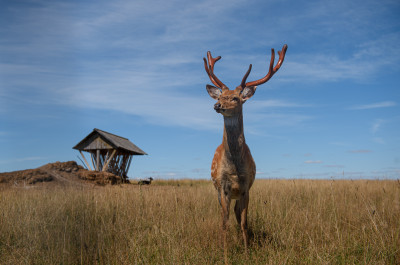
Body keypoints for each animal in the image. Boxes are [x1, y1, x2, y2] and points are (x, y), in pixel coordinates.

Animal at [203, 43, 288, 258]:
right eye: (221, 96)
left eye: (235, 98)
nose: (217, 105)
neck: (234, 168)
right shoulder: (223, 186)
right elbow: (223, 222)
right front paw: (224, 253)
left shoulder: (246, 186)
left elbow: (244, 222)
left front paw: (247, 251)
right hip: (218, 191)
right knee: (226, 216)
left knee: (237, 214)